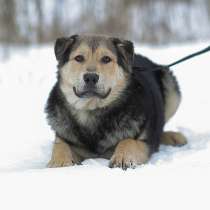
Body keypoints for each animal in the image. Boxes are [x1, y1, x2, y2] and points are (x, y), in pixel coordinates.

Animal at [46, 34, 187, 169]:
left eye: (106, 59)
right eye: (79, 58)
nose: (91, 77)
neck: (92, 110)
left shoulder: (145, 142)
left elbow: (129, 141)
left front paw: (123, 158)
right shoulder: (65, 137)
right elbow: (60, 144)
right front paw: (60, 162)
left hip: (171, 88)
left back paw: (174, 137)